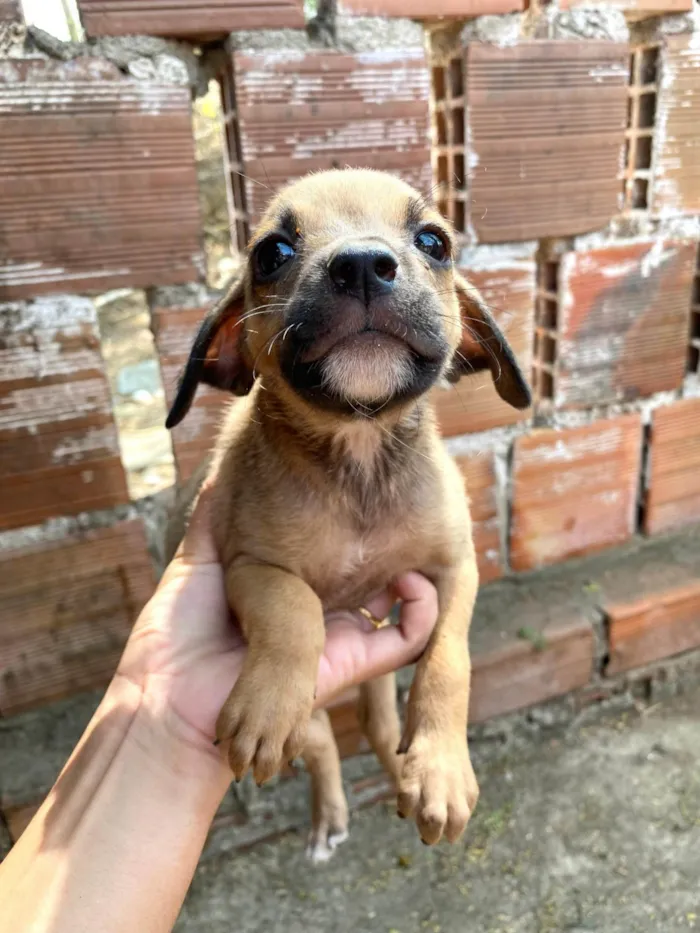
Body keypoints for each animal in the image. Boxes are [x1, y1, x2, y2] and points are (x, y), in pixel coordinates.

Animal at [165, 169, 532, 860]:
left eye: (434, 242)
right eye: (272, 253)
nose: (362, 263)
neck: (359, 453)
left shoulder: (456, 570)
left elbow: (448, 664)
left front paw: (440, 769)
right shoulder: (250, 568)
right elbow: (295, 609)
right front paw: (267, 706)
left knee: (376, 719)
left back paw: (402, 773)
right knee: (319, 738)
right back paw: (329, 809)